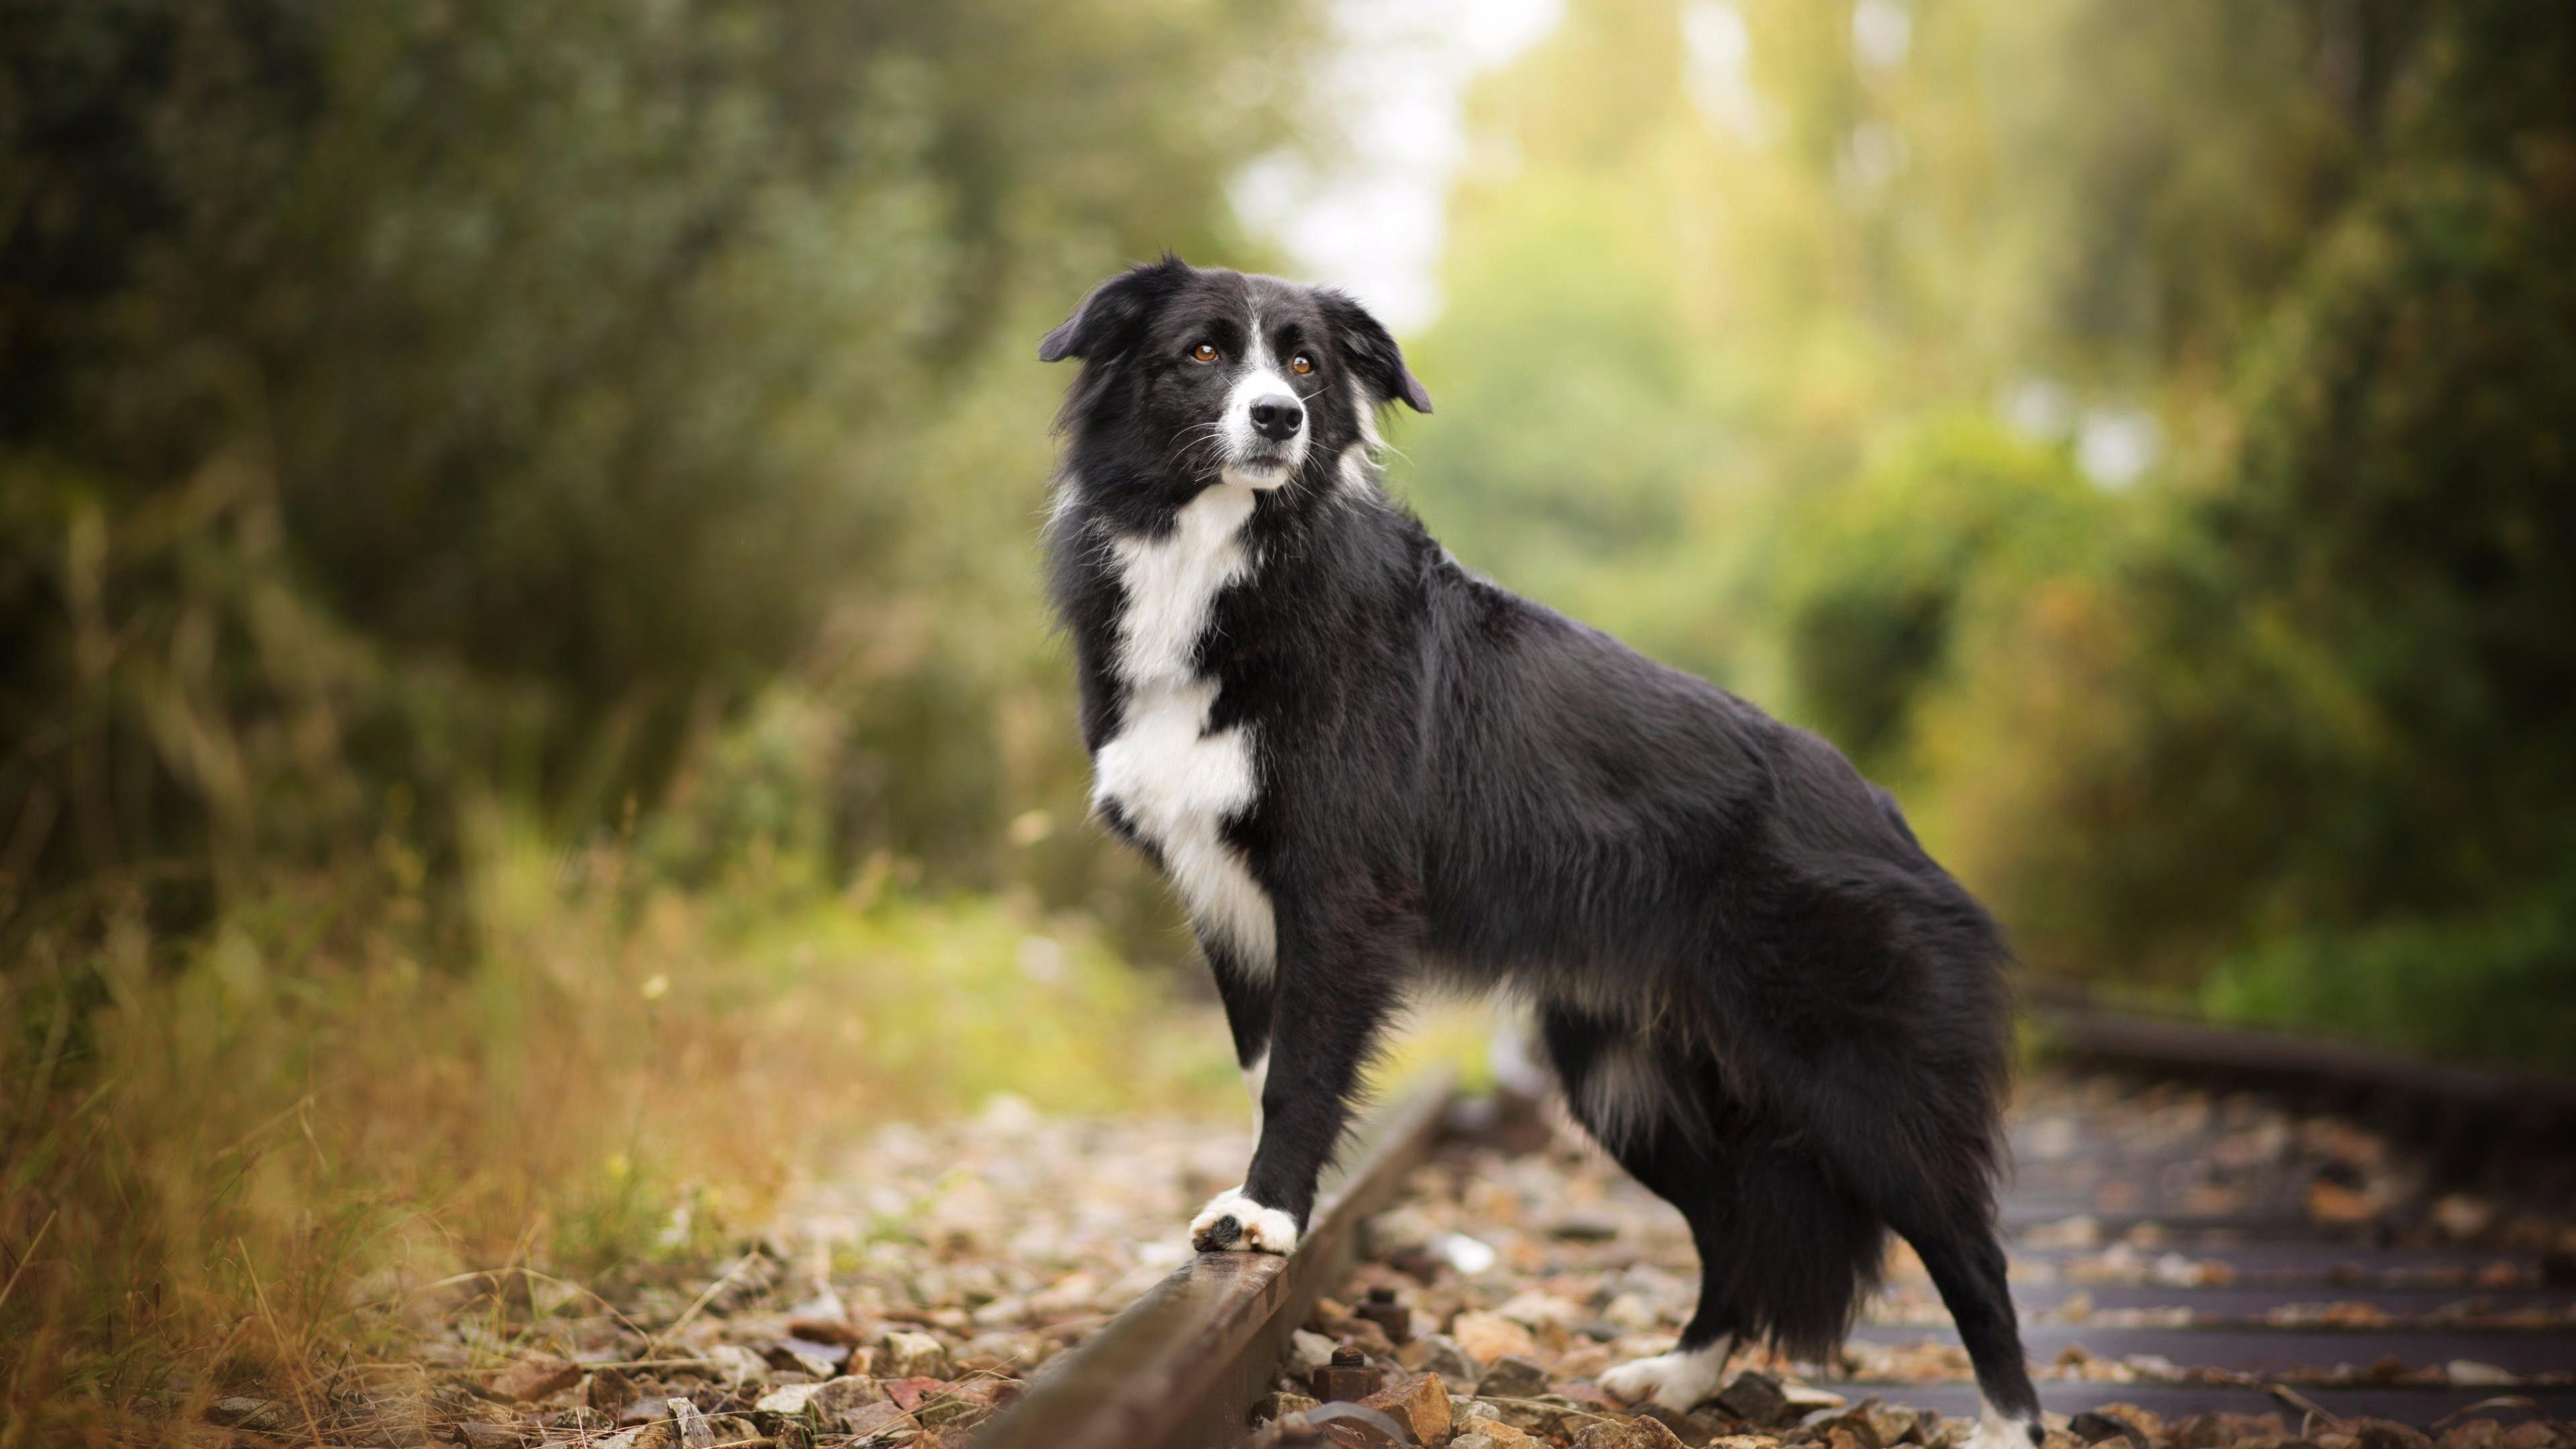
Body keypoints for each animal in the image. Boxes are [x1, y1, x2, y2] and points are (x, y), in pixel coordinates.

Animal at [1035, 256, 2040, 1433]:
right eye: (1201, 352)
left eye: (1305, 365)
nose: (1280, 420)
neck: (1226, 556)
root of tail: (1893, 823)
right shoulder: (1228, 903)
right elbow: (1264, 1064)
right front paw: (1271, 1219)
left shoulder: (1339, 892)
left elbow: (1299, 1076)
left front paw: (1272, 1217)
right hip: (1626, 1082)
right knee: (1737, 1228)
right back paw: (1677, 1378)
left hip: (1857, 1082)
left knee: (1972, 1255)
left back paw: (2007, 1430)